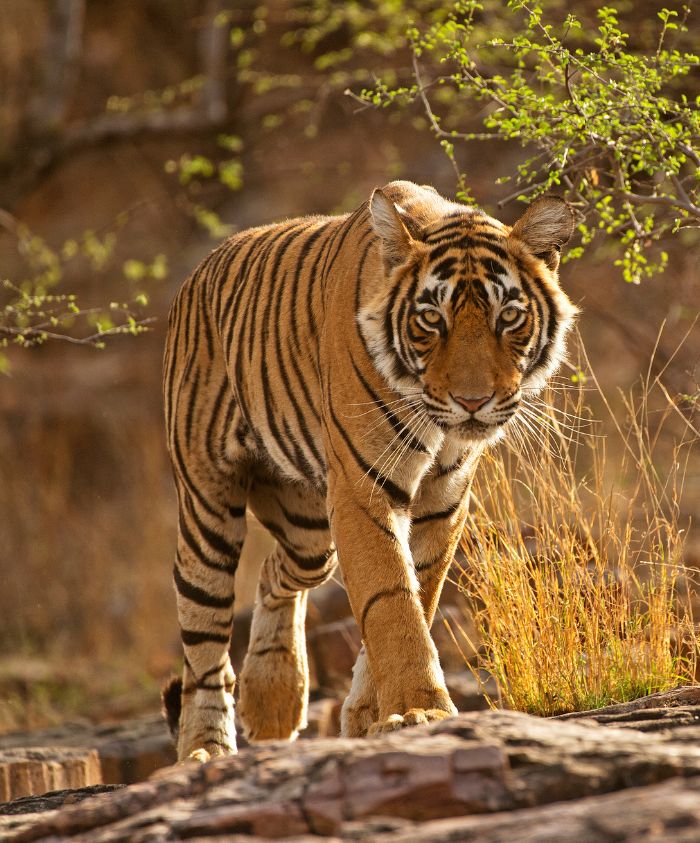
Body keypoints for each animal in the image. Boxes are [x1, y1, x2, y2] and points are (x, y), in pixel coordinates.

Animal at [162, 179, 577, 762]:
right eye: (432, 320)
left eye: (509, 317)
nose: (473, 402)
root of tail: (197, 273)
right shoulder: (363, 491)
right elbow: (391, 601)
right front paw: (420, 711)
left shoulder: (443, 501)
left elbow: (416, 598)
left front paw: (370, 715)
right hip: (208, 510)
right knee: (204, 645)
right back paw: (205, 749)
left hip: (310, 533)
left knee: (274, 574)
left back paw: (273, 697)